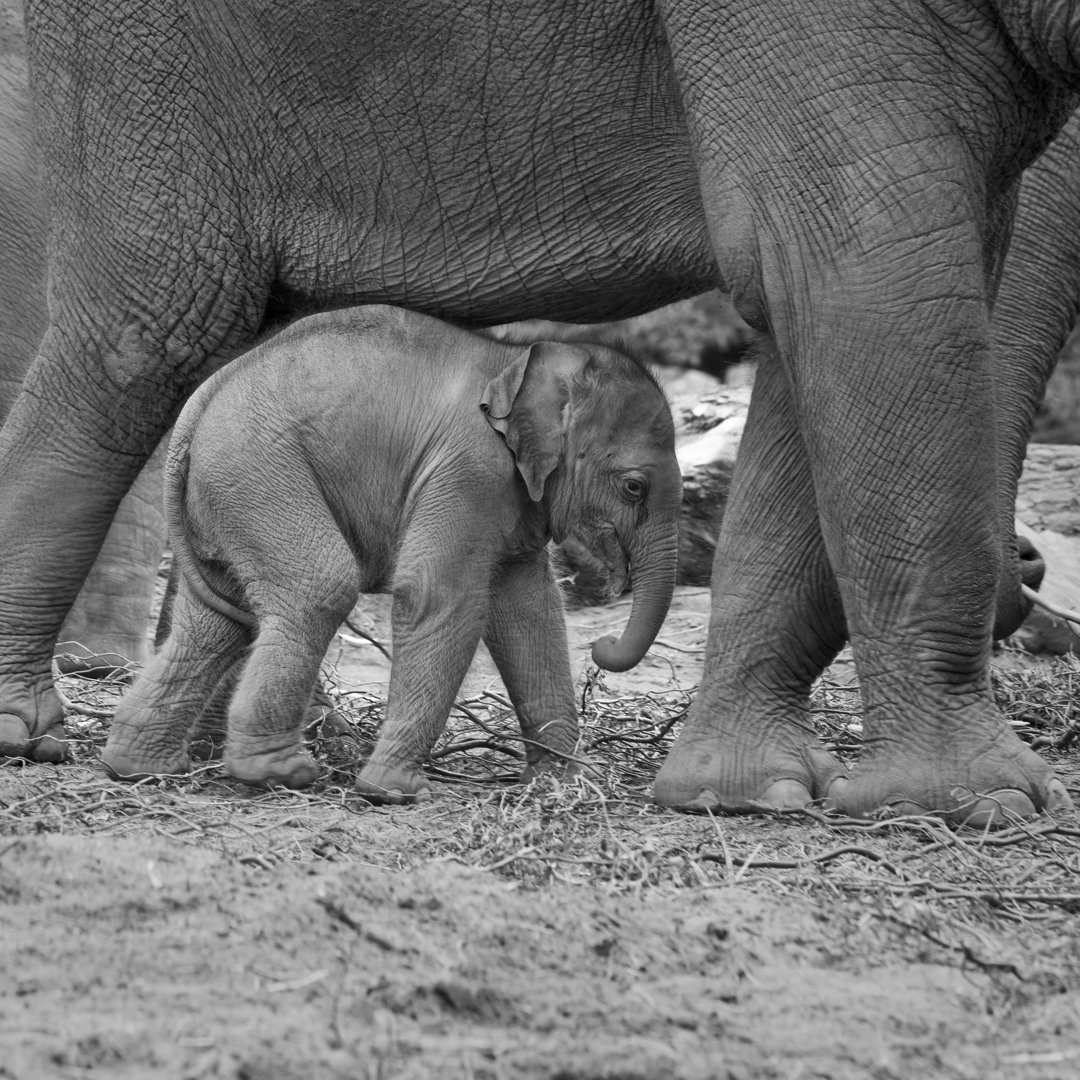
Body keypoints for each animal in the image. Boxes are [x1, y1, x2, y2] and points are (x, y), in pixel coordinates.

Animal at [103, 304, 673, 803]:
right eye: (634, 487)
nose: (603, 643)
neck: (517, 360)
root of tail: (196, 410)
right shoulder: (469, 469)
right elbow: (438, 595)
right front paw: (394, 792)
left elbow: (530, 613)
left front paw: (567, 783)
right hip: (258, 477)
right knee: (320, 589)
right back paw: (278, 772)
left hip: (226, 498)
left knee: (213, 624)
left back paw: (139, 766)